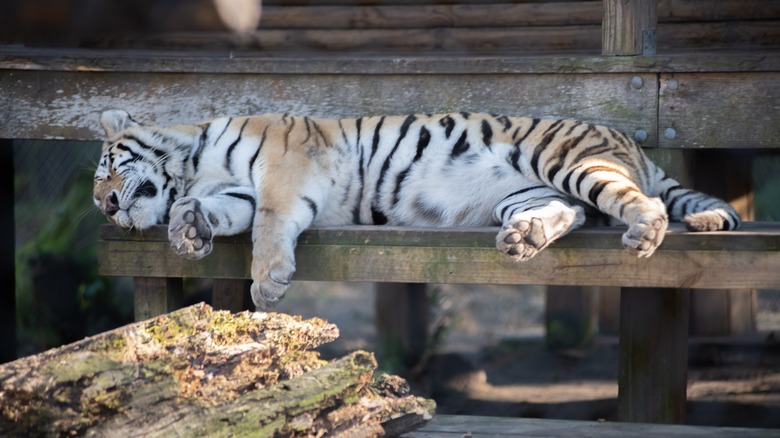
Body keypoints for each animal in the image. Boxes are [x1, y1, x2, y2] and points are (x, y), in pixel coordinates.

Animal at [94, 109, 740, 310]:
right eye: (99, 186)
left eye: (106, 168)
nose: (106, 208)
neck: (192, 161)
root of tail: (627, 140)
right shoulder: (236, 191)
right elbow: (215, 209)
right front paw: (189, 229)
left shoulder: (283, 170)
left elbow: (272, 226)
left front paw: (269, 283)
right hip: (528, 191)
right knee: (571, 213)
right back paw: (524, 239)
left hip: (567, 161)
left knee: (642, 200)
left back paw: (645, 233)